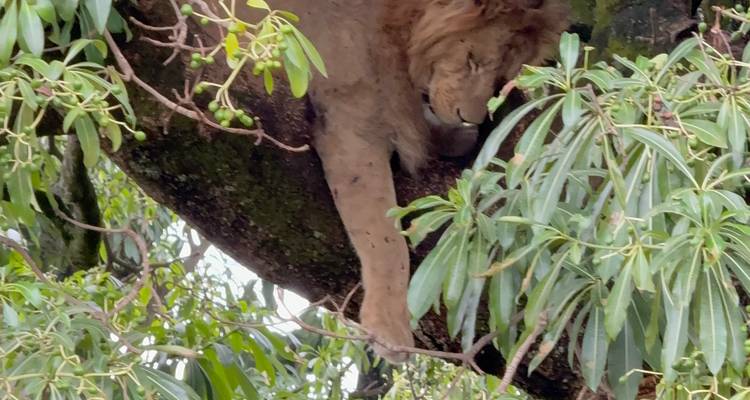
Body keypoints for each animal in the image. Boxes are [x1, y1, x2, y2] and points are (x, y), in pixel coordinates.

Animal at [238, 0, 568, 362]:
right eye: (473, 60)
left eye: (500, 78)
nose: (472, 119)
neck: (397, 29)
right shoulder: (349, 122)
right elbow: (384, 239)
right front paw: (388, 329)